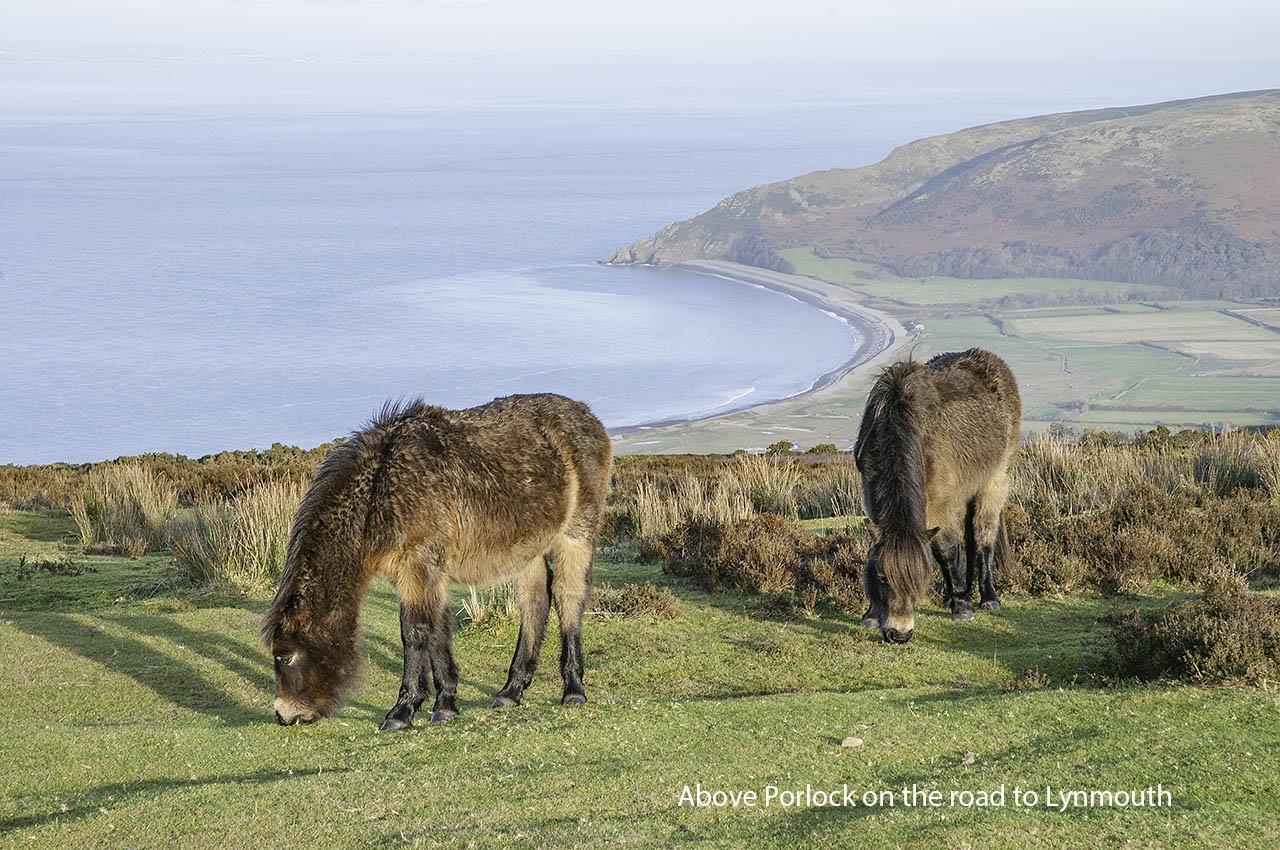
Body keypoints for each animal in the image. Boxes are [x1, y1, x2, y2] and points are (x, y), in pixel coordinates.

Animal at [259, 391, 609, 732]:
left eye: (285, 657)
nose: (284, 715)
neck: (381, 489)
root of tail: (588, 416)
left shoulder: (420, 565)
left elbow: (415, 633)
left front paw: (404, 711)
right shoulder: (417, 573)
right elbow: (435, 630)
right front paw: (443, 703)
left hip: (576, 535)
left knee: (568, 597)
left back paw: (573, 689)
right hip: (528, 550)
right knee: (535, 603)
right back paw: (511, 691)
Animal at [855, 348, 1024, 640]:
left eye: (920, 579)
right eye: (883, 578)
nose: (899, 634)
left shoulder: (937, 503)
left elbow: (945, 550)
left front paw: (962, 606)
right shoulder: (872, 498)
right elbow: (874, 554)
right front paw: (872, 614)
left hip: (993, 482)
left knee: (983, 538)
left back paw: (987, 598)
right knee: (969, 539)